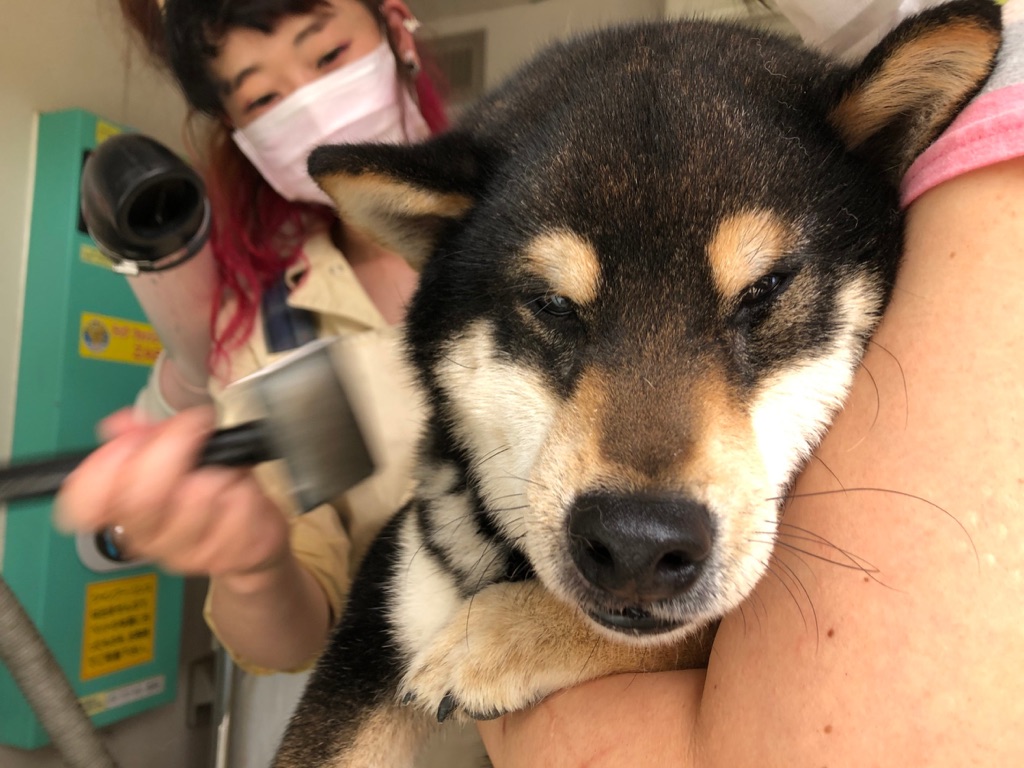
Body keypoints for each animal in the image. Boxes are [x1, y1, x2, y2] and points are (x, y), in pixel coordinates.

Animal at [274, 3, 1001, 765]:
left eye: (766, 289)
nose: (637, 545)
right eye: (552, 304)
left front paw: (506, 633)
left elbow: (711, 622)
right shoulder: (388, 604)